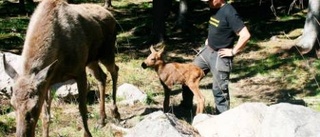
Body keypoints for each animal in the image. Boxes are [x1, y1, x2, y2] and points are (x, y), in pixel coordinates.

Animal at [3, 0, 120, 136]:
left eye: (35, 106)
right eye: (12, 104)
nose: (22, 134)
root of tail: (112, 17)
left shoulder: (79, 71)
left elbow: (82, 108)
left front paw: (87, 134)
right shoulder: (47, 82)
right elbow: (46, 117)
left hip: (107, 53)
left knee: (115, 70)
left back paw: (115, 113)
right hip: (91, 60)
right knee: (102, 77)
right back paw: (101, 119)